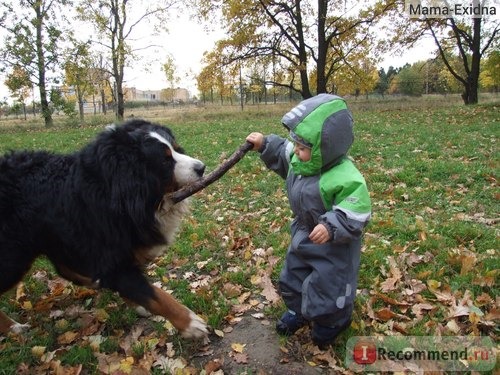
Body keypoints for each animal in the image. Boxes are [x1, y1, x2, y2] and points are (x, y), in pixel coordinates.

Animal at [0, 119, 209, 340]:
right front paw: (190, 323)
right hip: (14, 257)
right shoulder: (108, 256)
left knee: (65, 269)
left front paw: (137, 303)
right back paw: (13, 328)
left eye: (176, 149)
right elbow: (155, 295)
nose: (201, 168)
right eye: (164, 161)